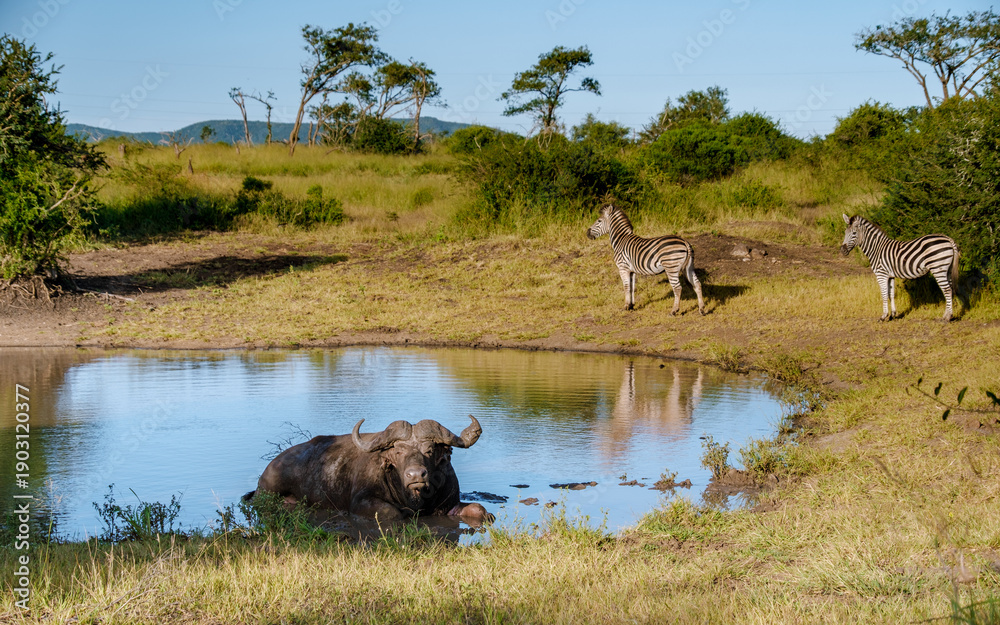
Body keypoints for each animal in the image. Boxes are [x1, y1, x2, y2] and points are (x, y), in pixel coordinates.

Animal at [246, 415, 493, 524]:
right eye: (398, 452)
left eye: (430, 450)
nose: (416, 475)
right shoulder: (360, 503)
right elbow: (393, 513)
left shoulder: (450, 504)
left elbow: (480, 510)